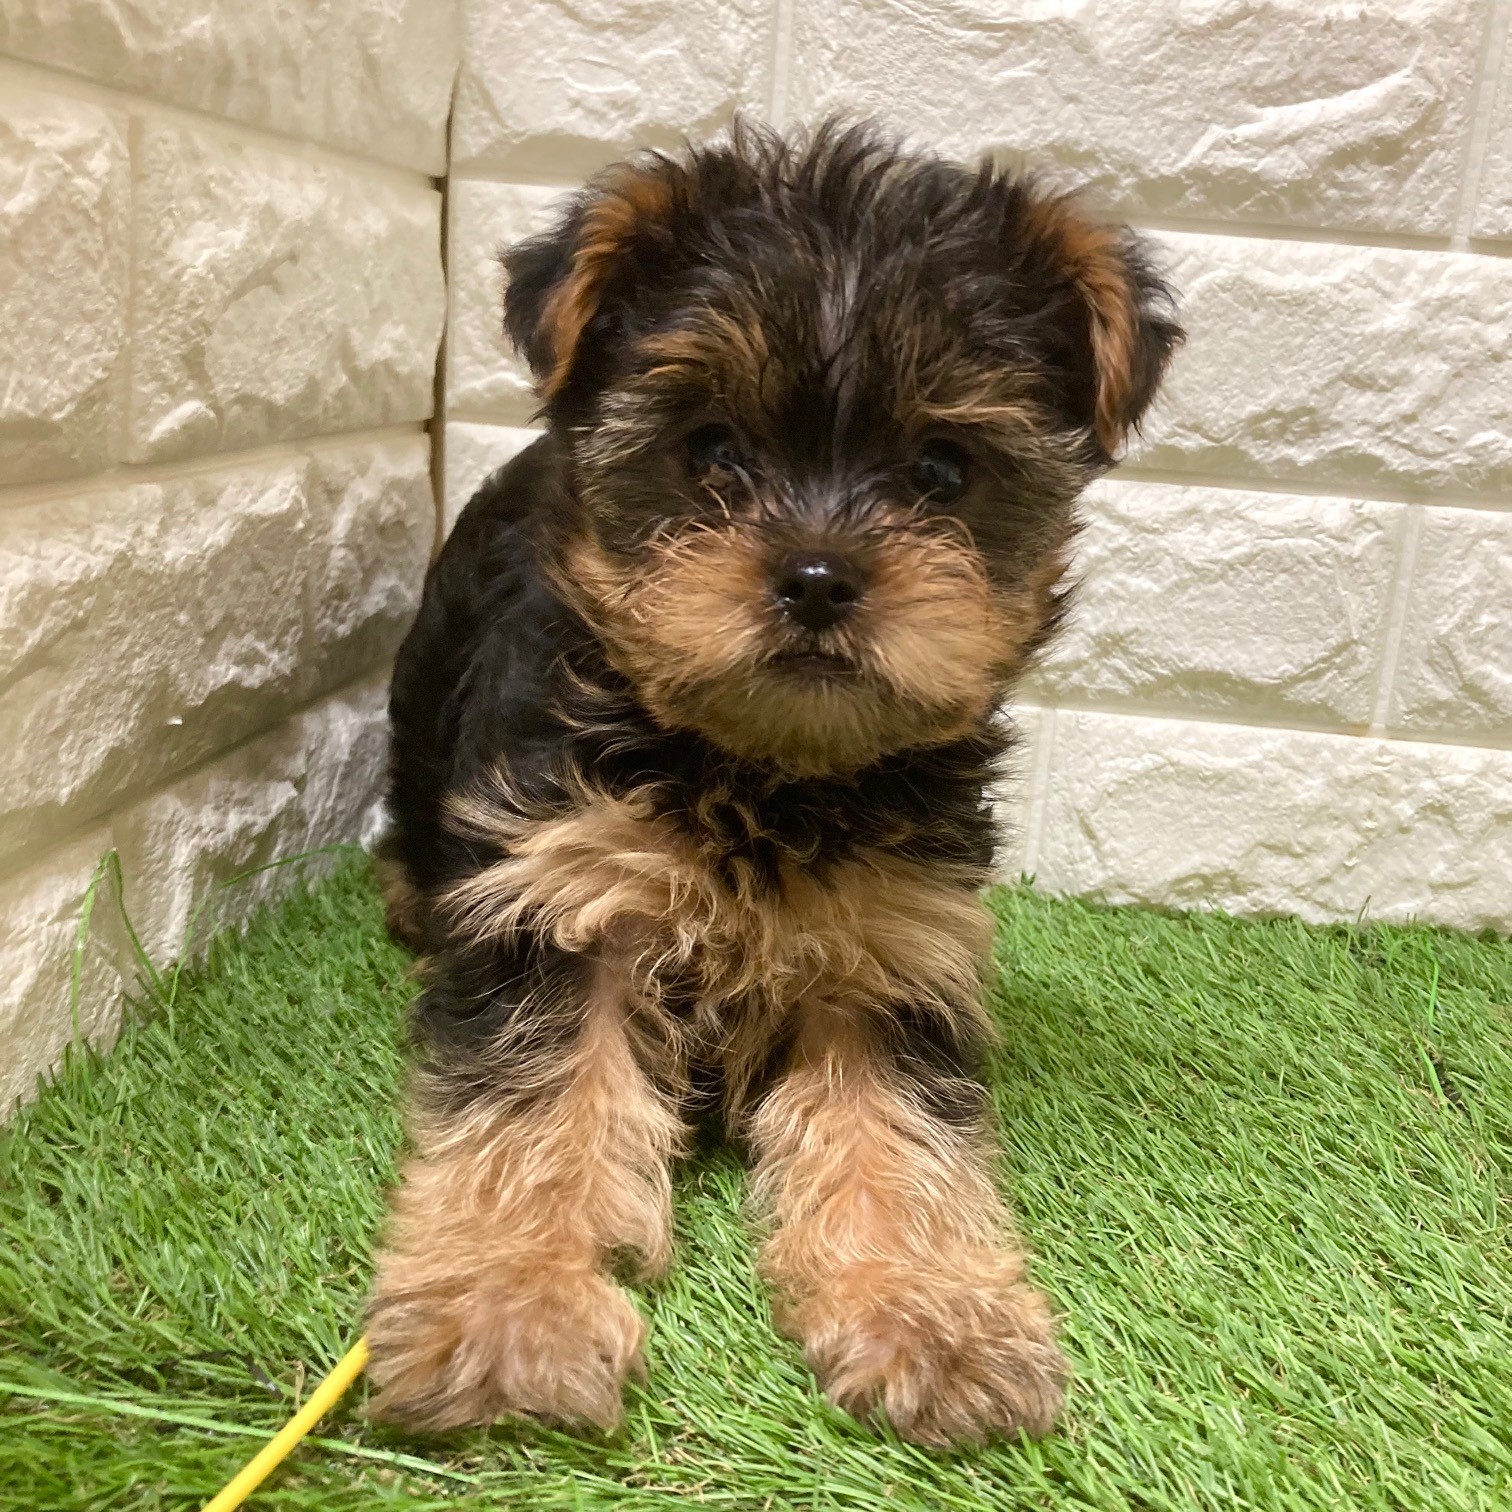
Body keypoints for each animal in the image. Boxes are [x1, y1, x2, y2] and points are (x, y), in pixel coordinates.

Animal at [365, 117, 1179, 1439]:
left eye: (942, 471)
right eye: (712, 452)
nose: (816, 575)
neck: (767, 767)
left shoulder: (888, 947)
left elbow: (891, 1133)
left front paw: (930, 1316)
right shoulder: (562, 893)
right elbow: (538, 1108)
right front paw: (508, 1313)